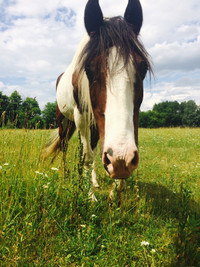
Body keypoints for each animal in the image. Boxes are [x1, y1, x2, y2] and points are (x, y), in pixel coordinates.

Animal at [44, 0, 152, 194]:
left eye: (143, 67)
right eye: (89, 69)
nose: (121, 159)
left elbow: (95, 153)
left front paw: (115, 189)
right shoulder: (81, 117)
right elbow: (86, 156)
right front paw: (89, 195)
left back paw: (94, 180)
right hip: (64, 121)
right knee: (64, 146)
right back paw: (65, 175)